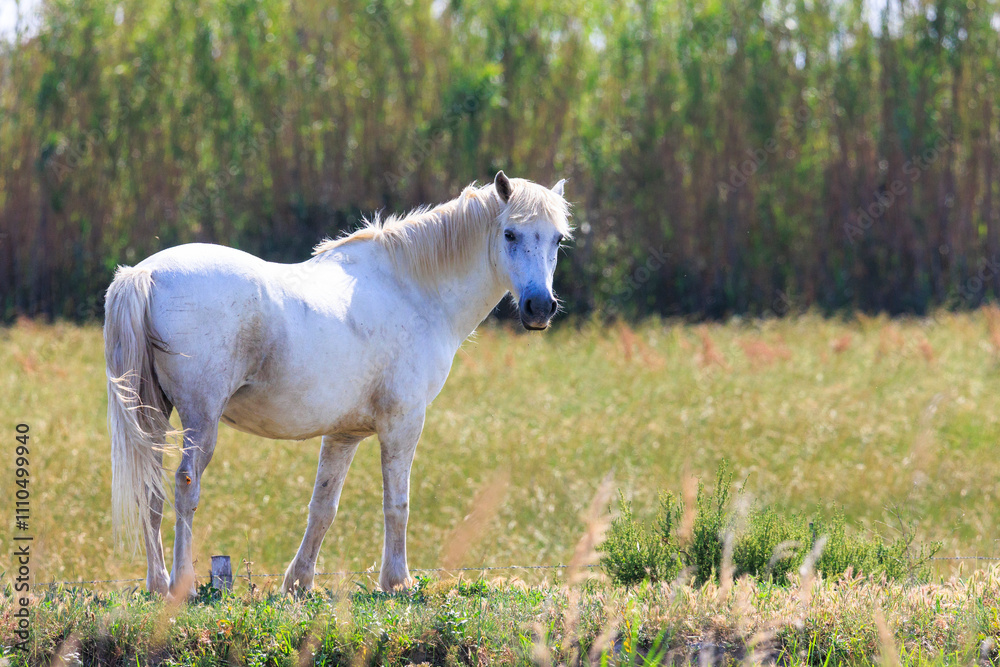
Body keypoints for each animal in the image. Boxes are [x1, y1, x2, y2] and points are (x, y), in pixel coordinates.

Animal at [104, 171, 571, 597]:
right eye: (510, 233)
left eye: (557, 240)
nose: (539, 307)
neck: (413, 289)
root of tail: (144, 274)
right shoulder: (403, 424)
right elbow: (397, 504)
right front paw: (397, 581)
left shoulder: (343, 435)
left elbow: (323, 507)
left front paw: (299, 583)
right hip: (201, 418)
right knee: (185, 485)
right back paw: (180, 586)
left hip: (153, 414)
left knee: (151, 491)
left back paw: (157, 585)